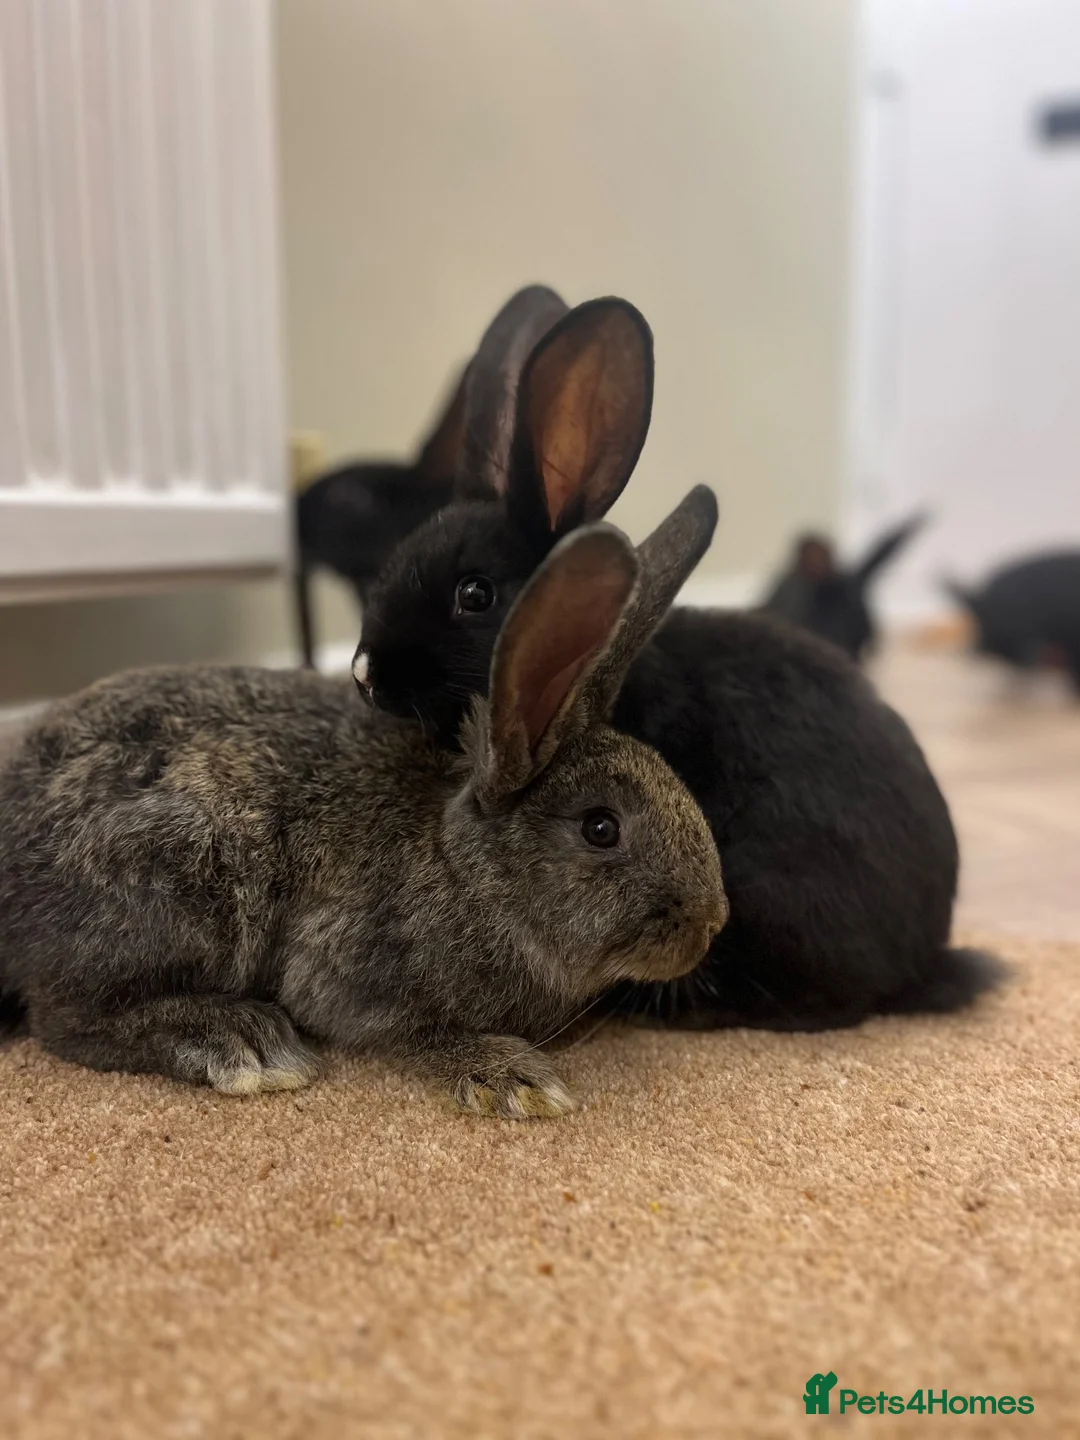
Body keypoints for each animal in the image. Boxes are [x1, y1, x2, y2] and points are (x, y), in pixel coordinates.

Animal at [0, 515, 729, 1118]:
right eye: (601, 828)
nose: (710, 922)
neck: (465, 868)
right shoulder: (347, 972)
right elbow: (412, 1031)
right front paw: (514, 1079)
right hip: (187, 878)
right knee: (65, 1020)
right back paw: (241, 1042)